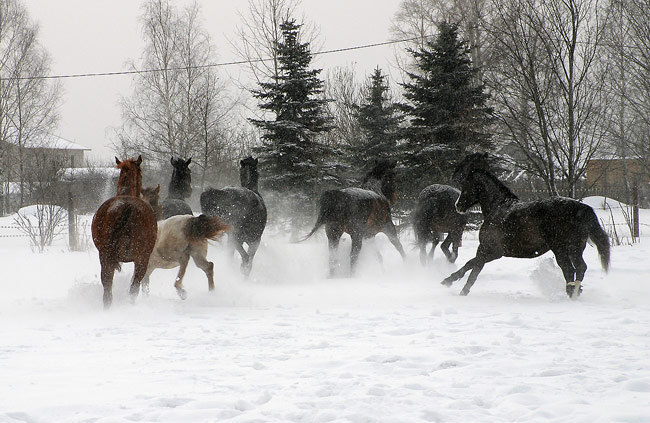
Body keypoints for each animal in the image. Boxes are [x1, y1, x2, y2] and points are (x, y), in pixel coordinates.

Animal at [91, 157, 158, 310]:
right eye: (141, 173)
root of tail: (126, 206)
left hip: (105, 256)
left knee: (107, 287)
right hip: (141, 259)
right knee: (134, 288)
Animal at [440, 157, 608, 300]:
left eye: (466, 186)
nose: (458, 205)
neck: (498, 208)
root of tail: (581, 208)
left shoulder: (490, 250)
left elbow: (473, 268)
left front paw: (459, 289)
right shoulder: (490, 252)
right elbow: (471, 264)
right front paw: (450, 282)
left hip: (561, 248)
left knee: (569, 269)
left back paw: (571, 293)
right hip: (575, 248)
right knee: (580, 268)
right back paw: (575, 291)